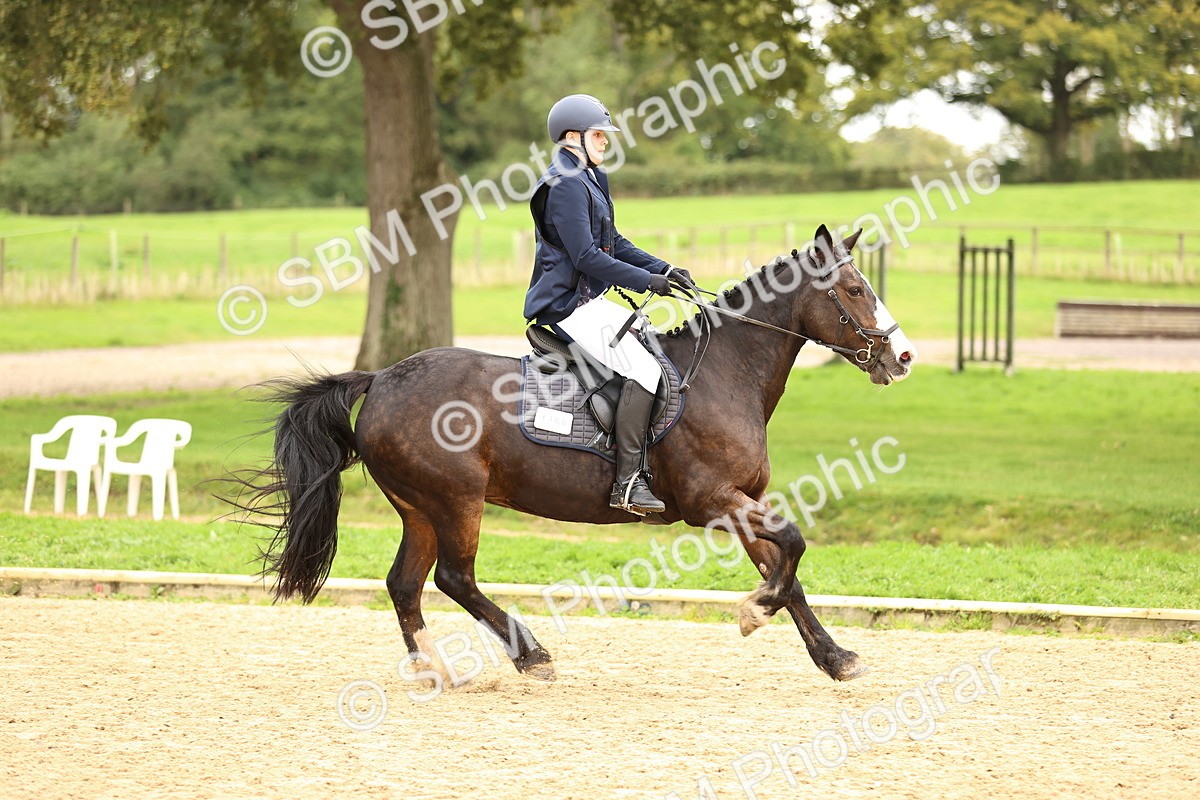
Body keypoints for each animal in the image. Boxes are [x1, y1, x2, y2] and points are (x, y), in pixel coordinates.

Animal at [234, 224, 917, 684]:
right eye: (854, 289)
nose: (903, 357)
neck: (726, 373)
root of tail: (380, 379)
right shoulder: (712, 501)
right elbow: (793, 546)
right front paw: (753, 614)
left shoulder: (742, 500)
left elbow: (787, 569)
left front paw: (834, 657)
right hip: (456, 500)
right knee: (455, 578)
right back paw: (532, 656)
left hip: (420, 507)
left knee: (405, 584)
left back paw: (434, 671)